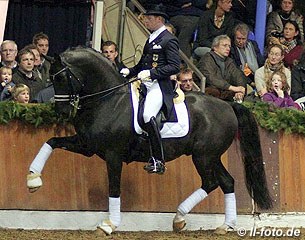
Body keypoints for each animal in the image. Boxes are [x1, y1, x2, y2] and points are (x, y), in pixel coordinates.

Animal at [26, 46, 270, 234]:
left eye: (60, 77)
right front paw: (33, 180)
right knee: (226, 182)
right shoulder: (87, 146)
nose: (62, 112)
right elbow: (51, 142)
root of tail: (228, 105)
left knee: (212, 182)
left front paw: (109, 225)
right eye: (50, 79)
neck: (108, 100)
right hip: (210, 156)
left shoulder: (113, 155)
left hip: (204, 156)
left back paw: (183, 219)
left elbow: (114, 188)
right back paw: (221, 225)